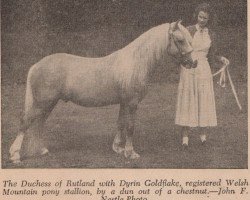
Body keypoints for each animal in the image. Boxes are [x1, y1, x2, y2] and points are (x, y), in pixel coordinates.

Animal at [9, 20, 195, 164]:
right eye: (180, 39)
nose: (194, 62)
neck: (136, 62)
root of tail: (36, 65)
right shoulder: (132, 103)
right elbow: (130, 127)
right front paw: (130, 153)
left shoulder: (124, 102)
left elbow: (120, 123)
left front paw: (118, 148)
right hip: (43, 102)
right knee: (26, 122)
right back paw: (15, 155)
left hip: (48, 104)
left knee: (39, 123)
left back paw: (41, 150)